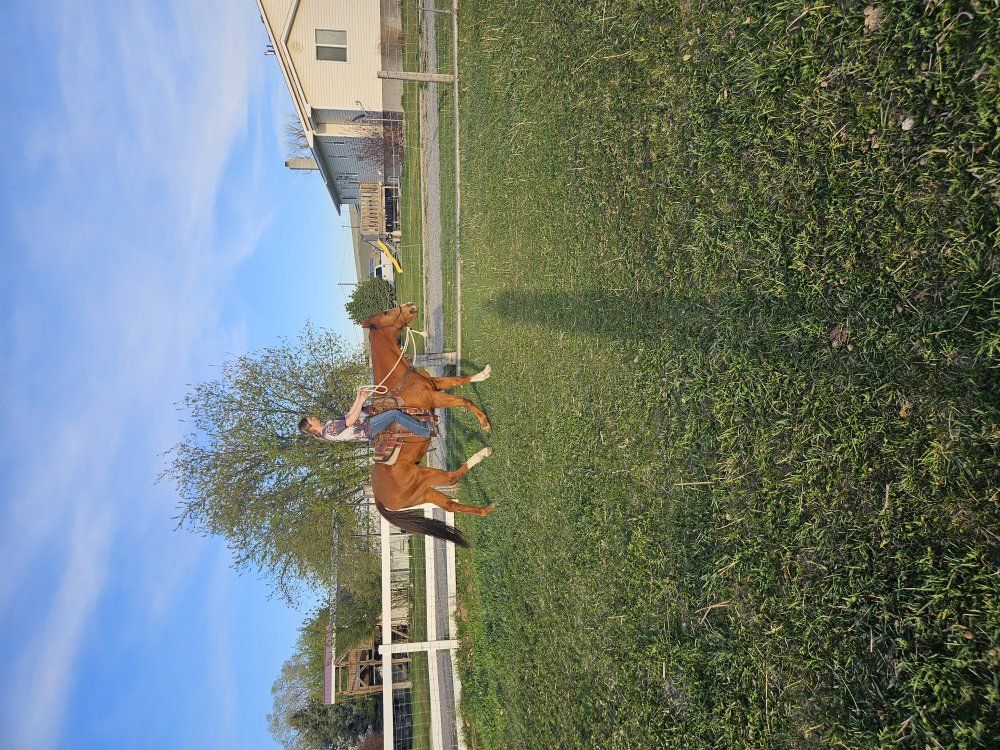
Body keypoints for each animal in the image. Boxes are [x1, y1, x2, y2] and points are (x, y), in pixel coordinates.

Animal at [362, 303, 495, 547]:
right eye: (385, 313)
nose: (410, 306)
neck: (400, 380)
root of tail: (378, 498)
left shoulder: (436, 384)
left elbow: (461, 380)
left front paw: (484, 373)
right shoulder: (434, 397)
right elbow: (465, 401)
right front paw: (485, 424)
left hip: (424, 492)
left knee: (451, 505)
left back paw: (487, 509)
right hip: (424, 476)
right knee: (453, 477)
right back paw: (484, 452)